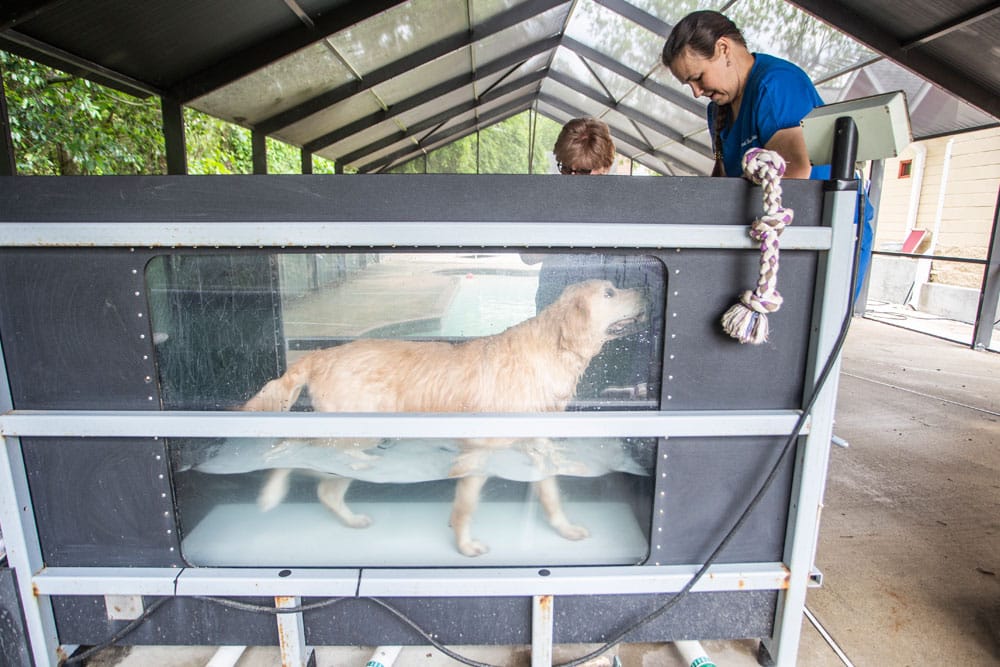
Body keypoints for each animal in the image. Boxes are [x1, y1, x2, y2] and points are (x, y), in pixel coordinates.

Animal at [243, 278, 648, 560]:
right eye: (610, 292)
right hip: (351, 430)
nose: (645, 291)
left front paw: (565, 529)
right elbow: (466, 507)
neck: (549, 353)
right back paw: (276, 490)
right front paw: (465, 545)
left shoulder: (536, 445)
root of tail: (320, 355)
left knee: (325, 479)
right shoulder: (477, 454)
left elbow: (550, 495)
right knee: (299, 453)